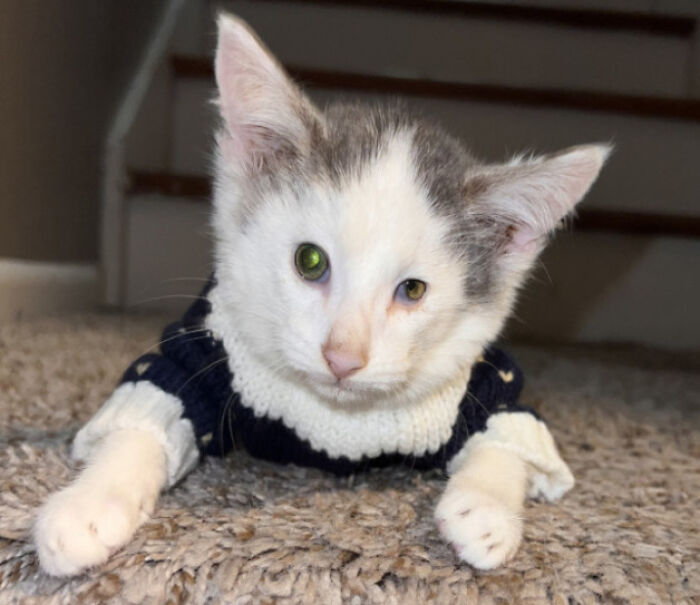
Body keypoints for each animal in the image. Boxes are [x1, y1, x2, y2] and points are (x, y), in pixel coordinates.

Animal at [35, 15, 608, 576]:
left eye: (413, 290)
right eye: (310, 261)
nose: (343, 358)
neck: (334, 421)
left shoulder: (484, 381)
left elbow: (509, 430)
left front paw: (485, 509)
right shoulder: (203, 350)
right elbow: (157, 396)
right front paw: (89, 505)